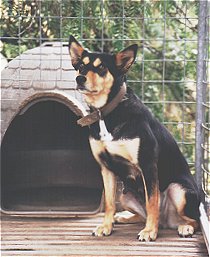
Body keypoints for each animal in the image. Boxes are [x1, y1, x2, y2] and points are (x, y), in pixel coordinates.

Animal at [68, 35, 200, 240]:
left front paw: (150, 232)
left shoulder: (148, 165)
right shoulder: (106, 168)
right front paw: (106, 226)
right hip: (125, 194)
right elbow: (109, 203)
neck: (106, 112)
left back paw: (183, 227)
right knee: (141, 214)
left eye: (101, 67)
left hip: (179, 190)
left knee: (194, 220)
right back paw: (124, 217)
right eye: (81, 66)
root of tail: (167, 221)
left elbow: (152, 201)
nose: (79, 78)